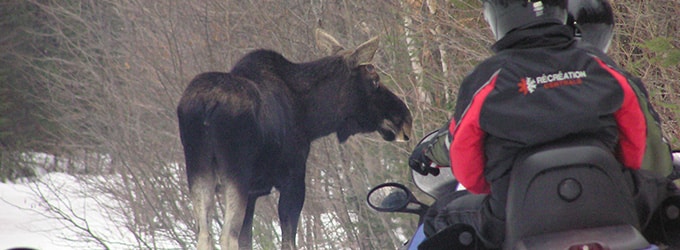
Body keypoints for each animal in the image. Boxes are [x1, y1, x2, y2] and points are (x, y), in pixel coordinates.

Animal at [175, 28, 412, 249]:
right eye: (374, 80)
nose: (406, 118)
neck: (310, 119)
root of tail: (206, 106)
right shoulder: (293, 180)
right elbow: (288, 240)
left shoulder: (253, 192)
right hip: (235, 174)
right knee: (226, 236)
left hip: (199, 172)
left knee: (204, 235)